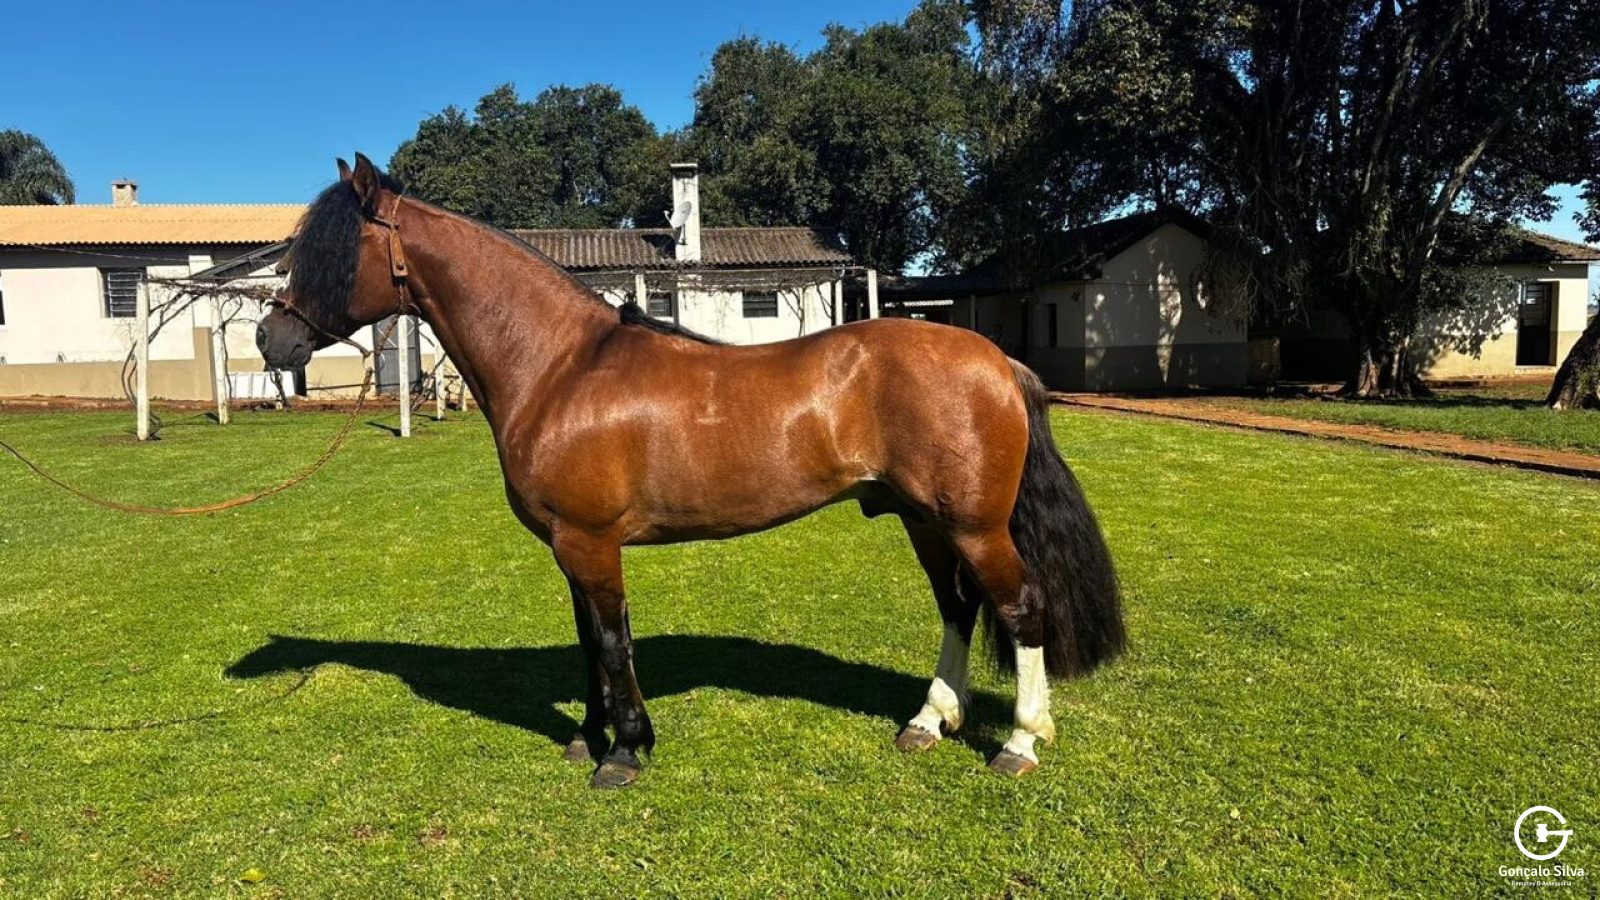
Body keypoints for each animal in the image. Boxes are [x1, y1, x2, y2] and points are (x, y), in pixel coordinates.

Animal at [257, 154, 1125, 788]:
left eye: (333, 253)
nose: (272, 342)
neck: (560, 367)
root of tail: (997, 361)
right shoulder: (571, 549)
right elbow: (589, 643)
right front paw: (591, 736)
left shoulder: (591, 544)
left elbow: (613, 642)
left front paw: (624, 752)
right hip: (923, 519)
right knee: (957, 608)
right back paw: (926, 723)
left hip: (974, 525)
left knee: (1020, 610)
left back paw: (1019, 742)